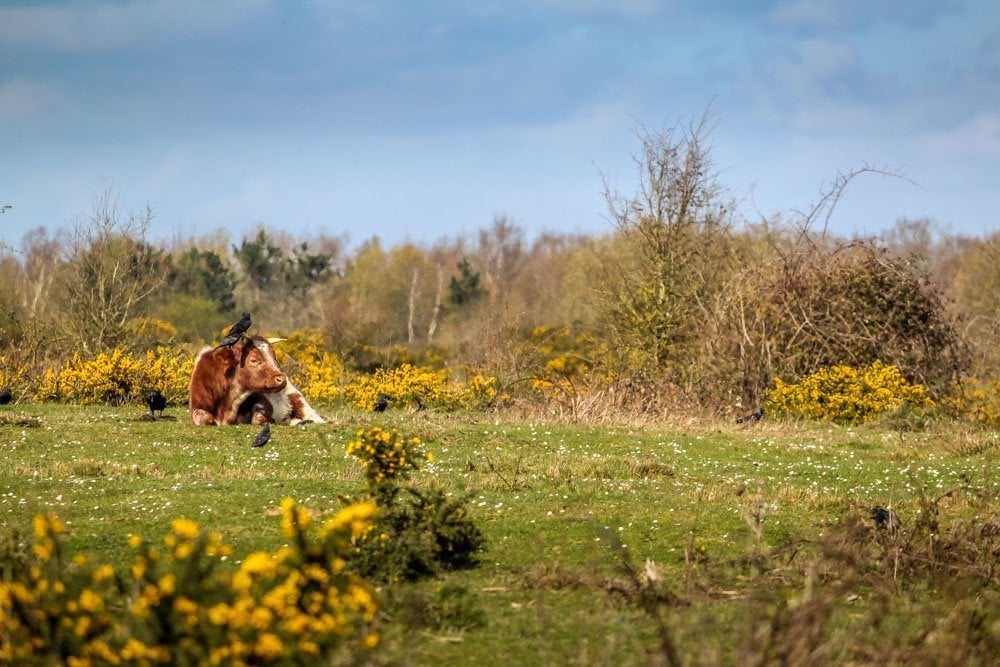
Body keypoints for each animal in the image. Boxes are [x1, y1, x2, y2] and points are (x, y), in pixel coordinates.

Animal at [188, 334, 324, 428]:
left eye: (274, 358)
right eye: (253, 360)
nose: (281, 379)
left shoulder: (263, 403)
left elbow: (257, 418)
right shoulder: (197, 406)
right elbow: (203, 418)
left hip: (299, 400)